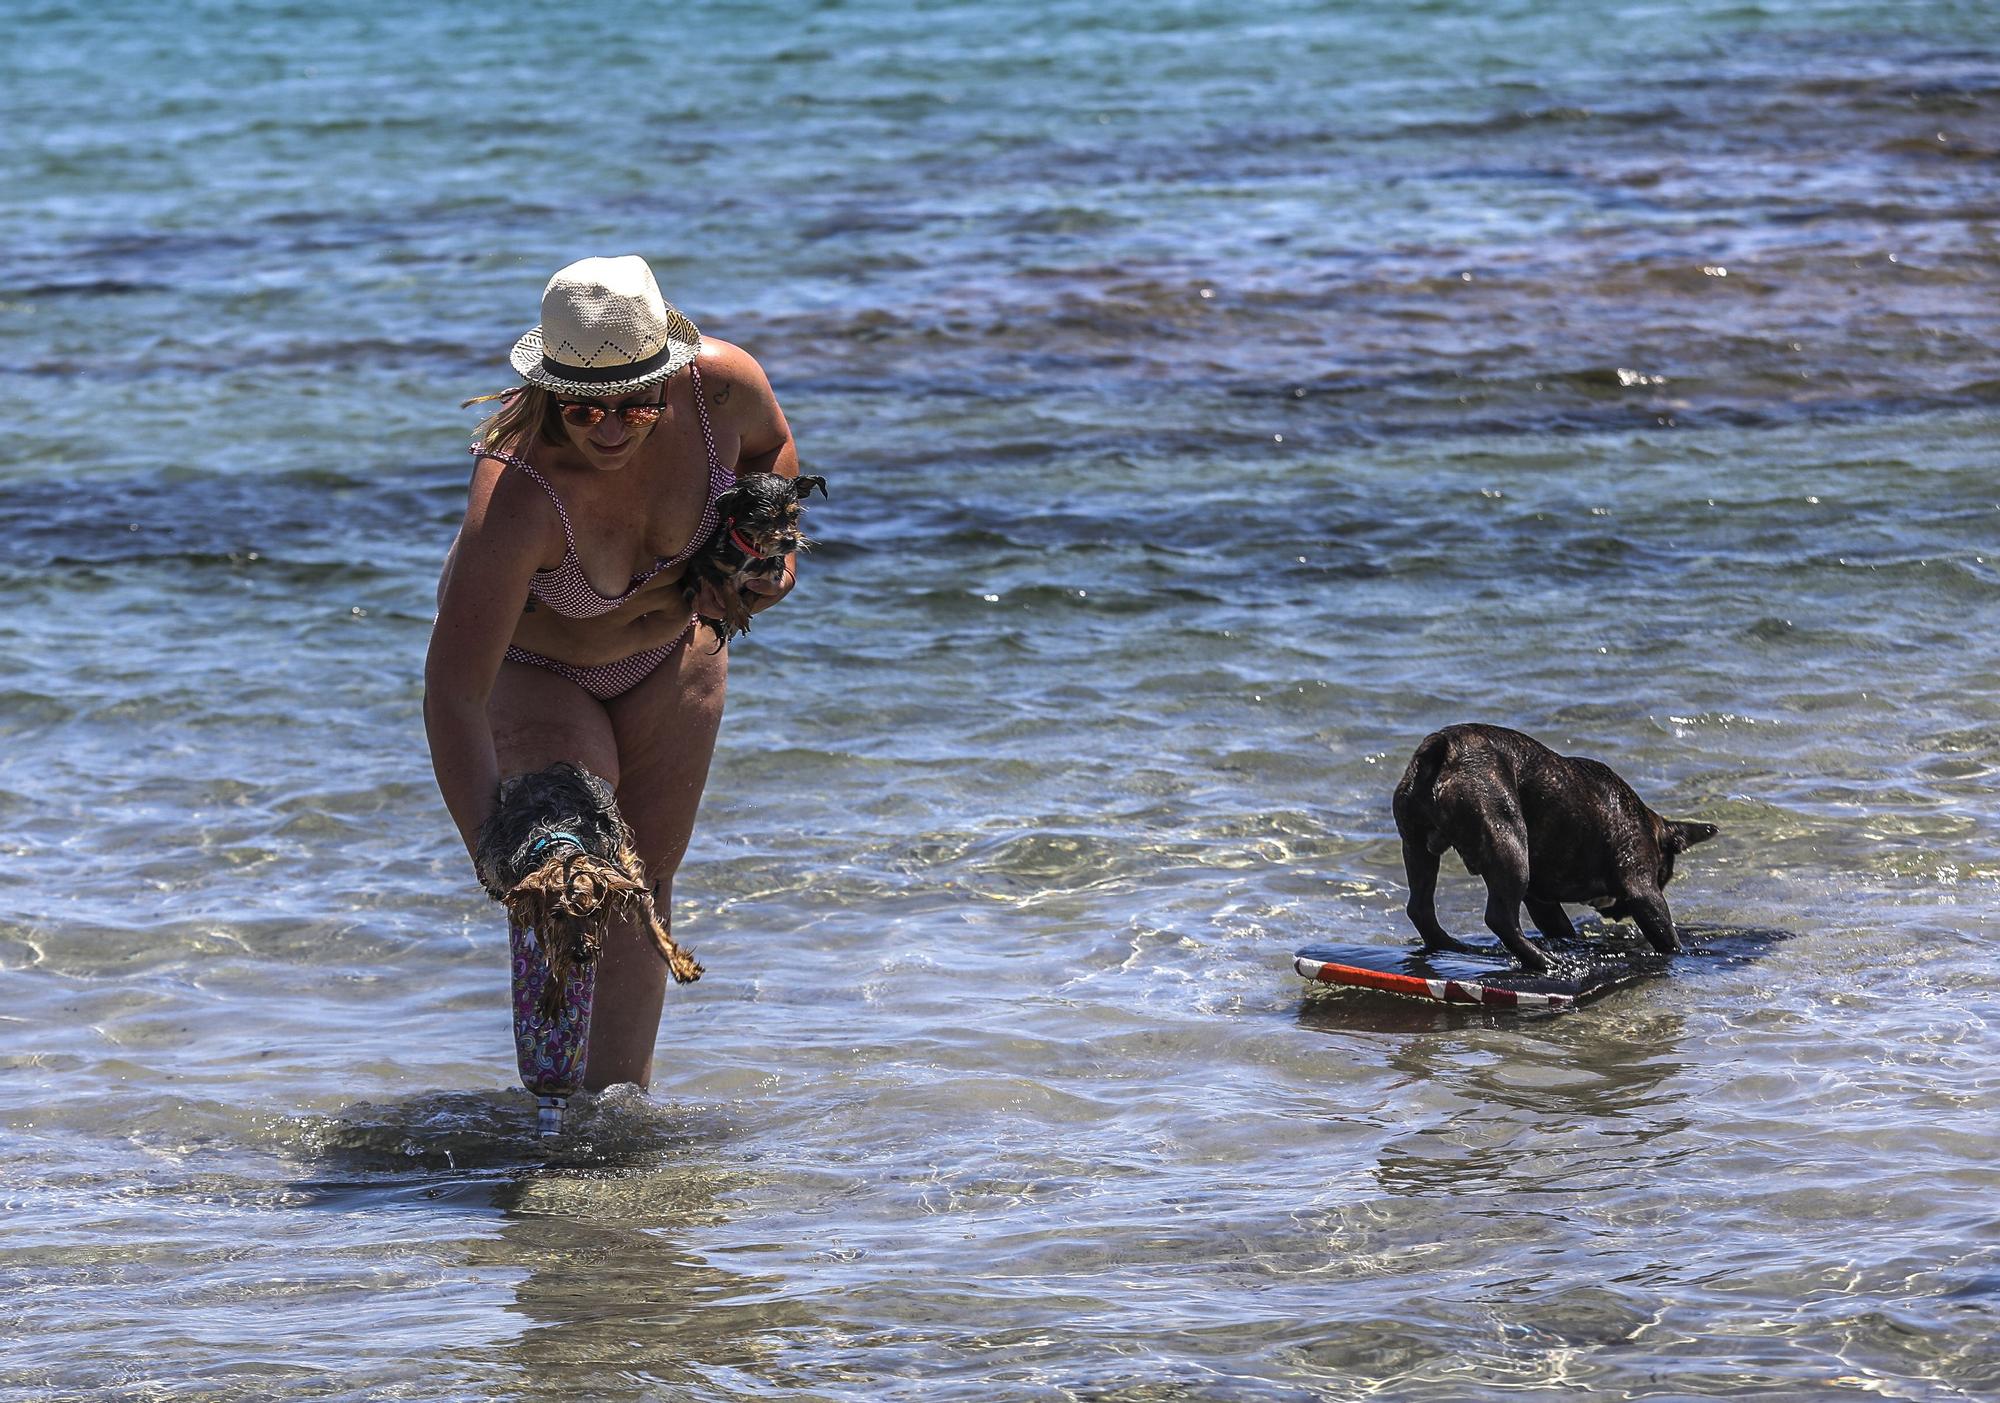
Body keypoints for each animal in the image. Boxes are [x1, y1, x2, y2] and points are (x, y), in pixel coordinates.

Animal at [680, 471, 820, 647]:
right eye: (763, 519)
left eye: (794, 515)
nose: (789, 541)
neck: (750, 551)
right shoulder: (703, 563)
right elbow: (726, 584)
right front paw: (737, 612)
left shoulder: (767, 581)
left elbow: (751, 594)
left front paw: (737, 618)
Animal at [1392, 731, 1720, 971]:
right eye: (1664, 876)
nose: (1617, 914)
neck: (1649, 826)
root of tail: (1445, 749)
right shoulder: (1643, 889)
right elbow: (1666, 934)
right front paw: (1681, 954)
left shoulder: (1541, 901)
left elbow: (1561, 927)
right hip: (1508, 841)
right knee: (1500, 918)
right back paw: (1543, 961)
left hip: (1417, 846)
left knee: (1421, 907)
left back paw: (1451, 946)